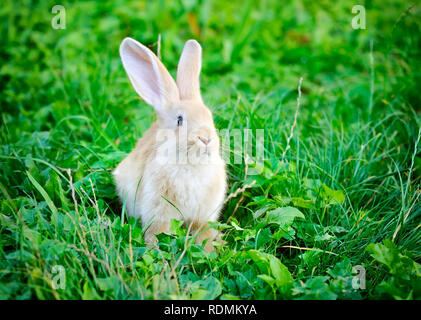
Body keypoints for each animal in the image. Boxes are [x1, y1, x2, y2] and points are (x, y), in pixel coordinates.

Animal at [112, 38, 226, 252]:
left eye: (210, 116)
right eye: (180, 120)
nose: (206, 139)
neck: (190, 164)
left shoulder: (202, 215)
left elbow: (203, 231)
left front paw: (209, 248)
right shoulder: (158, 211)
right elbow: (157, 232)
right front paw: (155, 250)